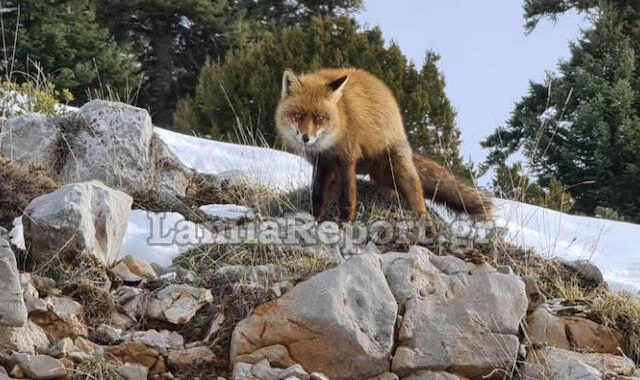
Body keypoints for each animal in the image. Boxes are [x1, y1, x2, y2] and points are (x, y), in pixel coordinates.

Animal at [276, 67, 496, 223]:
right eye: (297, 116)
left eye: (319, 118)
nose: (306, 138)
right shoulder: (322, 164)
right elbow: (317, 196)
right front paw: (315, 218)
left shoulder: (346, 159)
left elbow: (347, 198)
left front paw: (344, 222)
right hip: (381, 176)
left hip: (398, 169)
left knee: (418, 196)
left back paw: (423, 221)